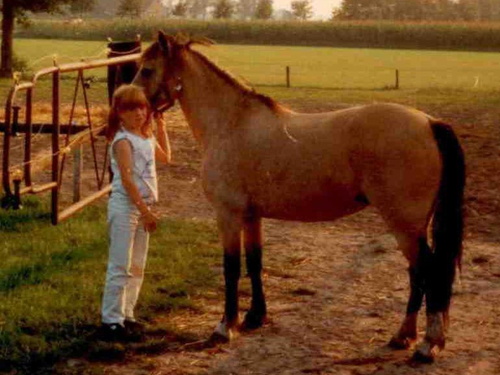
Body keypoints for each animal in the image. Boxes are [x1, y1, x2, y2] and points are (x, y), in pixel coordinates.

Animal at [132, 33, 464, 362]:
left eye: (146, 70)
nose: (127, 106)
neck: (231, 124)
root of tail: (429, 122)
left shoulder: (228, 215)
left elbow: (231, 268)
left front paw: (225, 327)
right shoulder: (252, 215)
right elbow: (255, 262)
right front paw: (255, 317)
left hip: (404, 225)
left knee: (430, 271)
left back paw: (426, 345)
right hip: (413, 227)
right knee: (417, 274)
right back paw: (403, 336)